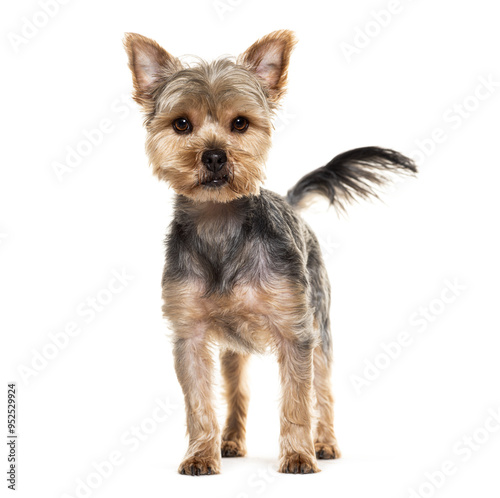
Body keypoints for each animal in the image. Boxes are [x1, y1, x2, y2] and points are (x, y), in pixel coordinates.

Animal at [123, 30, 416, 474]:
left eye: (240, 123)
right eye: (182, 124)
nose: (214, 155)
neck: (221, 226)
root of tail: (291, 205)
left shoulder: (296, 330)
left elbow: (297, 399)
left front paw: (298, 455)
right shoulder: (189, 333)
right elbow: (199, 401)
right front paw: (201, 455)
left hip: (320, 321)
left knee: (323, 388)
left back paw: (324, 443)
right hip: (232, 348)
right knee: (236, 389)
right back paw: (229, 441)